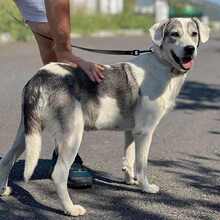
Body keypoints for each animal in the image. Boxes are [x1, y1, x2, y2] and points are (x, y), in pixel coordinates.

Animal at [0, 17, 210, 217]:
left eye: (194, 34)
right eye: (174, 34)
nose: (189, 49)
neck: (162, 64)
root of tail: (41, 76)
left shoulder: (131, 131)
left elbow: (129, 158)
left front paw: (130, 180)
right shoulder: (145, 131)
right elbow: (141, 164)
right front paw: (146, 187)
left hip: (27, 132)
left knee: (7, 159)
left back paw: (3, 190)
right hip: (72, 135)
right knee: (58, 174)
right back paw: (71, 209)